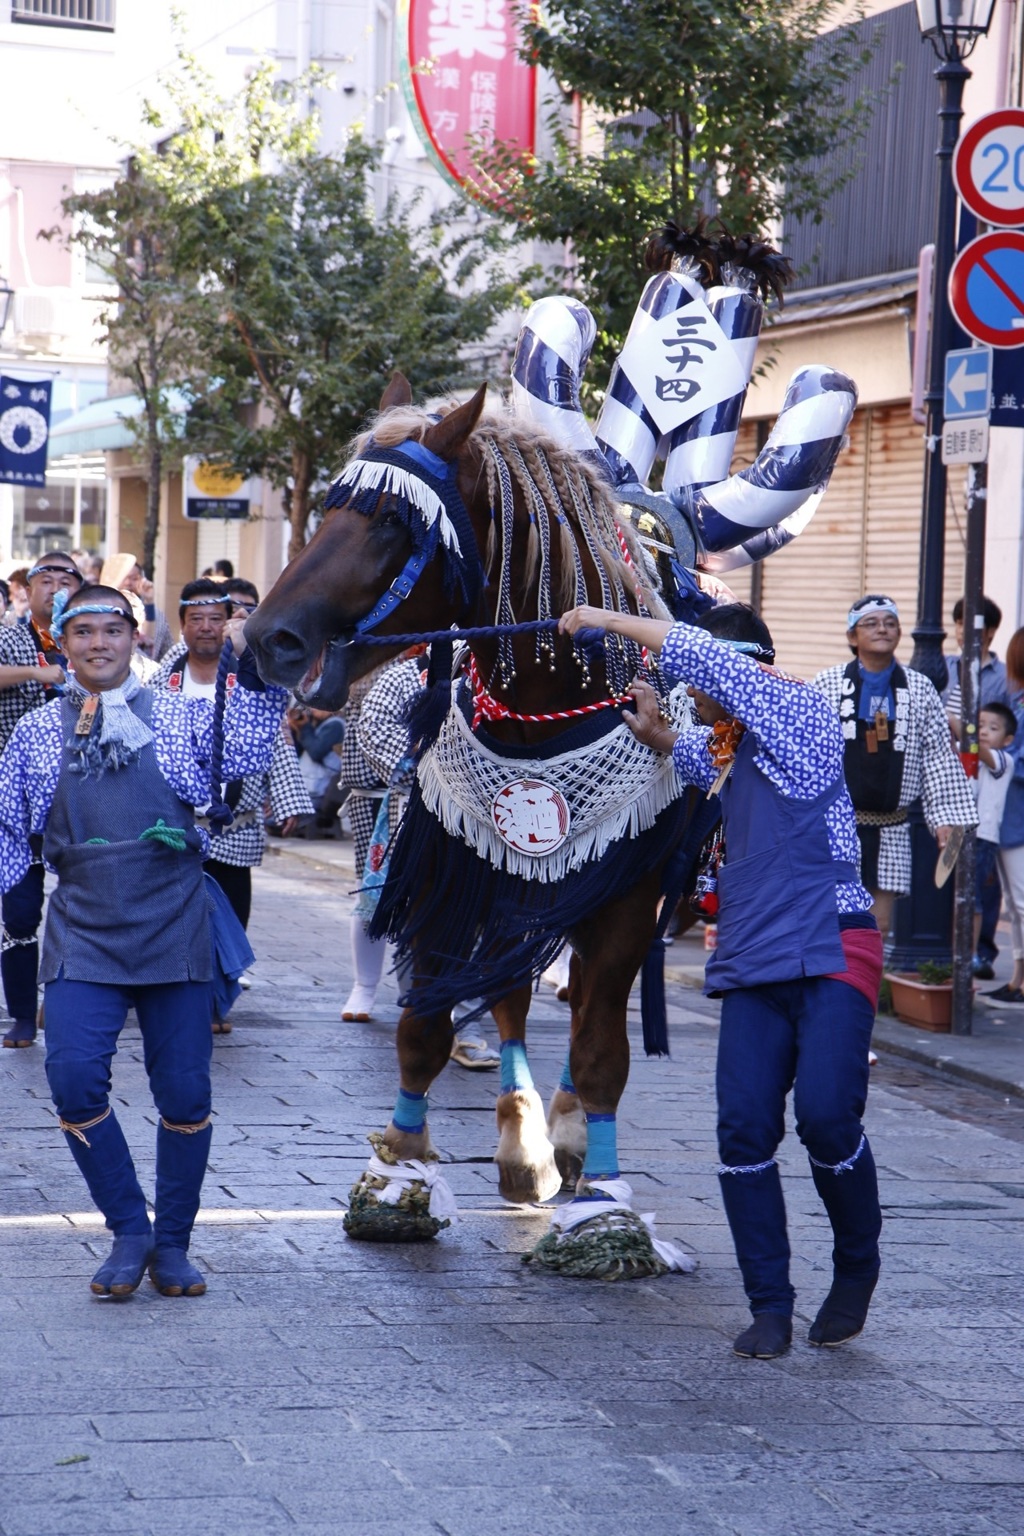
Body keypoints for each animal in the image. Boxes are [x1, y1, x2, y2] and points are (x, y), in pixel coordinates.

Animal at [248, 222, 859, 1277]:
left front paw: (603, 1203)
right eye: (330, 504)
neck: (548, 698)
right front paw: (403, 1171)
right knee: (510, 1000)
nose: (267, 639)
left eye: (390, 522)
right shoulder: (460, 862)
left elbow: (605, 1041)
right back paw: (525, 1136)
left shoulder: (623, 886)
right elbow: (430, 1023)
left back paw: (568, 1138)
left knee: (579, 1012)